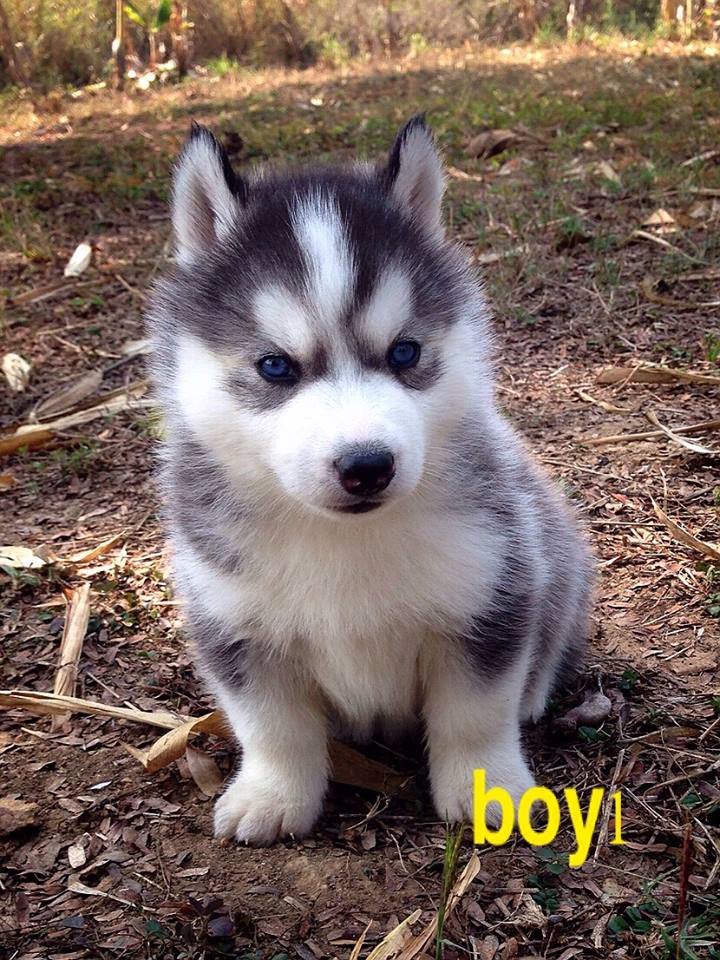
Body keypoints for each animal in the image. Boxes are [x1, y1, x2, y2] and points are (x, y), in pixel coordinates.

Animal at [147, 116, 594, 846]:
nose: (366, 465)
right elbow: (271, 725)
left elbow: (475, 714)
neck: (345, 542)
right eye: (275, 367)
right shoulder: (232, 619)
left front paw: (486, 787)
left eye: (405, 353)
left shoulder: (490, 590)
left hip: (554, 554)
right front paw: (273, 794)